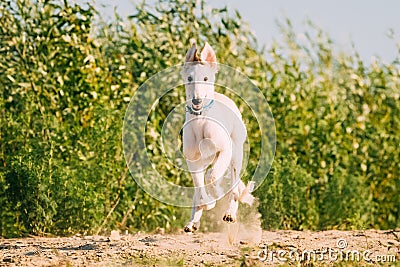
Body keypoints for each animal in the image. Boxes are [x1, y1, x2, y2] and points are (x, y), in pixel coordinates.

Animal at [181, 40, 253, 233]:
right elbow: (199, 186)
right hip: (206, 159)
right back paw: (193, 222)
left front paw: (215, 197)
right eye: (189, 79)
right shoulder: (192, 160)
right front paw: (207, 204)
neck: (201, 121)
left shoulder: (225, 151)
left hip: (236, 155)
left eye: (206, 79)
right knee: (198, 189)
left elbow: (212, 177)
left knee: (233, 188)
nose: (196, 101)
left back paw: (230, 213)